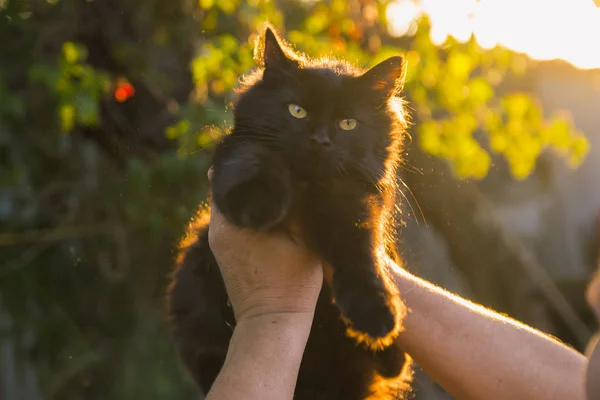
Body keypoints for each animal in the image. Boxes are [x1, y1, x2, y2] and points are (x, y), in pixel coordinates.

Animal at [168, 26, 412, 398]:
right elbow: (254, 158)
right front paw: (257, 203)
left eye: (348, 123)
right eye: (297, 111)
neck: (307, 187)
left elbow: (358, 249)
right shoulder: (238, 148)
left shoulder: (355, 201)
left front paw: (377, 312)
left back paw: (390, 353)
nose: (320, 141)